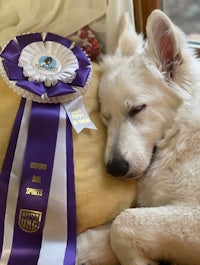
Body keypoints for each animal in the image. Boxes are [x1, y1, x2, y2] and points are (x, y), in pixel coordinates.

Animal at [76, 9, 200, 262]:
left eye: (137, 109)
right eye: (106, 117)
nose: (115, 169)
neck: (180, 135)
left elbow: (122, 222)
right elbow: (101, 234)